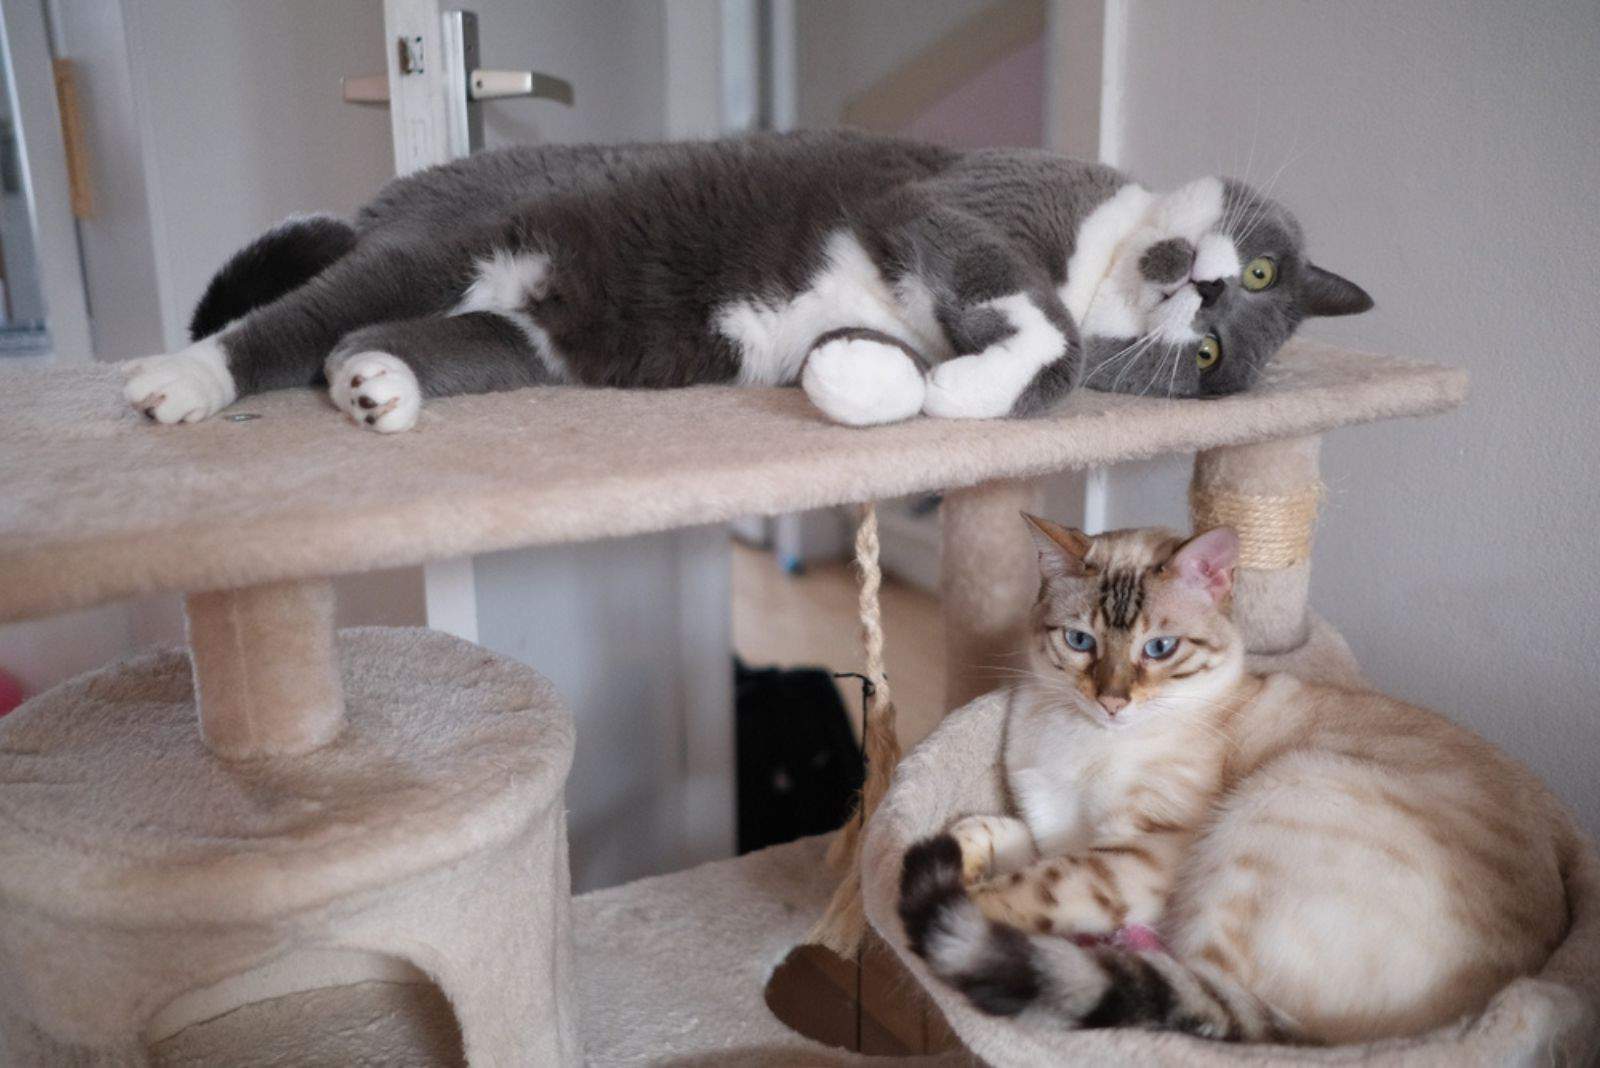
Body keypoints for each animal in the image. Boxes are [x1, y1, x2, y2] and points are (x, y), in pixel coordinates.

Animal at [902, 518, 1574, 1042]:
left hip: (1289, 790)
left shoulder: (1145, 849)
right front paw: (957, 849)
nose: (1112, 702)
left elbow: (1036, 886)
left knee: (1190, 987)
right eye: (1079, 641)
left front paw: (954, 900)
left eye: (1160, 648)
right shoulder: (1058, 825)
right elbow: (1006, 835)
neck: (1081, 739)